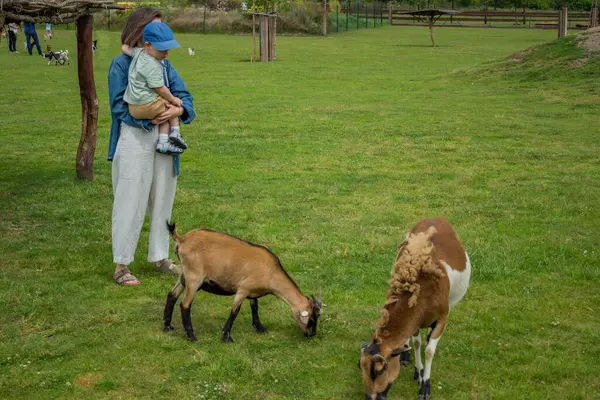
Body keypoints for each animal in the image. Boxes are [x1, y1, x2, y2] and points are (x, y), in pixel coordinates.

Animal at [162, 222, 322, 344]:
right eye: (311, 319)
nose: (312, 334)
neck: (271, 272)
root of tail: (182, 239)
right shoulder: (243, 289)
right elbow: (235, 311)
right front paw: (226, 335)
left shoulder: (252, 291)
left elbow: (255, 307)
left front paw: (260, 328)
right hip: (194, 278)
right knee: (185, 305)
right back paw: (192, 337)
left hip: (184, 276)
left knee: (171, 295)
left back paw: (167, 327)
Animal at [358, 219, 472, 400]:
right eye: (360, 366)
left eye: (380, 370)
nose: (370, 398)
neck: (422, 290)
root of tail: (435, 218)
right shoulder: (415, 320)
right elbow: (417, 343)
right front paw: (418, 372)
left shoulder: (442, 317)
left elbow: (429, 350)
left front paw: (425, 385)